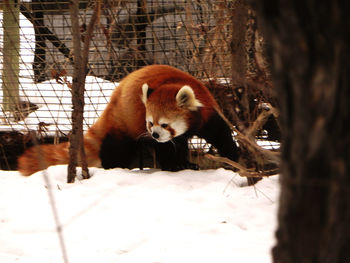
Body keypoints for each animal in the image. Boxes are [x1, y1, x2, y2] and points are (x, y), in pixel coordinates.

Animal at [17, 65, 239, 177]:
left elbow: (221, 134)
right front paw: (173, 166)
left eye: (164, 124)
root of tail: (113, 100)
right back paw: (114, 167)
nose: (155, 134)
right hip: (123, 125)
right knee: (115, 149)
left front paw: (234, 159)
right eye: (150, 123)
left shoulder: (207, 113)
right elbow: (166, 149)